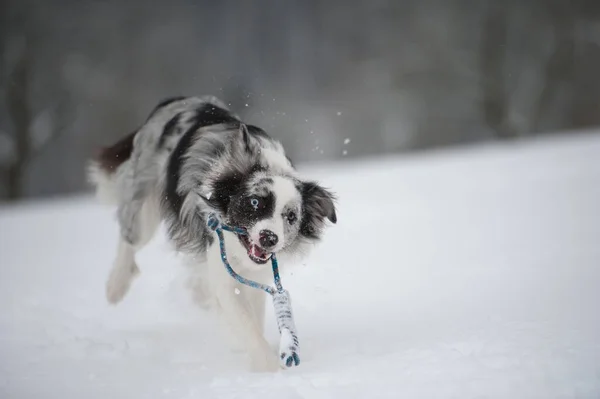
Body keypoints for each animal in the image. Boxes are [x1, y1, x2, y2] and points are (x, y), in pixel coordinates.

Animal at [88, 96, 338, 372]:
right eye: (254, 202)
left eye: (291, 216)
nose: (269, 238)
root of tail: (177, 99)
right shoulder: (222, 263)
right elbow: (245, 323)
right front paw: (269, 368)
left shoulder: (256, 274)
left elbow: (254, 314)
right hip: (144, 198)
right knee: (130, 236)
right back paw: (116, 285)